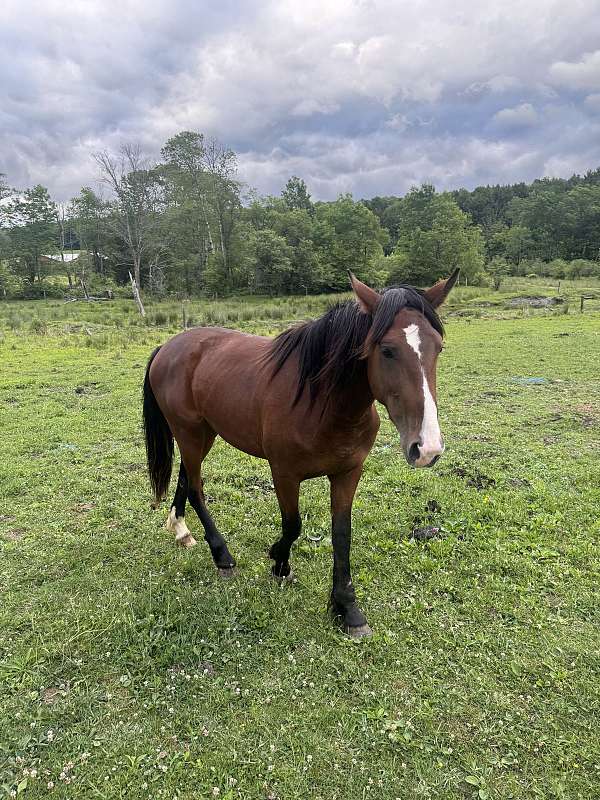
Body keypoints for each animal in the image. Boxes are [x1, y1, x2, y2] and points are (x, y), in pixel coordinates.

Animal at [142, 270, 459, 637]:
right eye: (388, 350)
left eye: (438, 347)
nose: (427, 447)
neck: (321, 402)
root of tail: (169, 346)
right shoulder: (284, 473)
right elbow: (293, 525)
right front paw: (279, 562)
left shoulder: (348, 473)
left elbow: (342, 533)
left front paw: (347, 608)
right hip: (190, 434)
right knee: (195, 487)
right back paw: (221, 556)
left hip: (202, 434)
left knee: (184, 477)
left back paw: (181, 530)